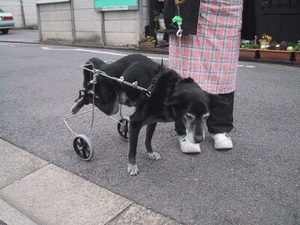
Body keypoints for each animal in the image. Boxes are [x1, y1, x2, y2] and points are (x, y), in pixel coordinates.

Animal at [72, 53, 226, 175]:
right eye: (189, 116)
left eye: (206, 116)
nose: (199, 139)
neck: (167, 92)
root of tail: (106, 67)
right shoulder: (135, 122)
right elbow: (133, 148)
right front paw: (132, 165)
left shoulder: (152, 121)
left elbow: (148, 140)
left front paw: (150, 153)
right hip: (111, 106)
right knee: (88, 94)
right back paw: (76, 106)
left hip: (121, 99)